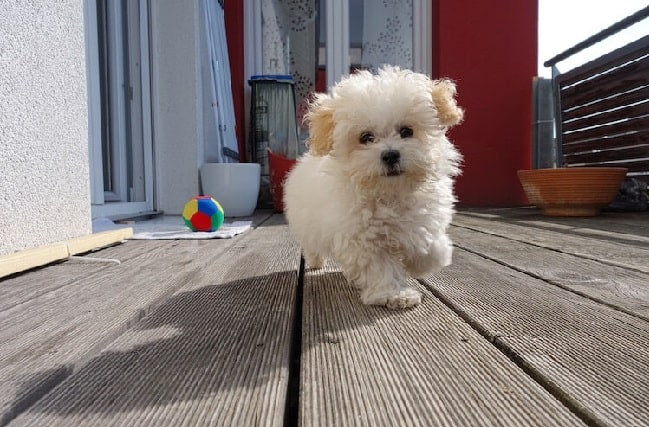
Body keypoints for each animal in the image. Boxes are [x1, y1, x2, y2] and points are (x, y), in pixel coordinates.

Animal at [284, 65, 460, 310]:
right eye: (366, 137)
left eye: (406, 131)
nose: (390, 155)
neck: (390, 193)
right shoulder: (362, 239)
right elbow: (380, 267)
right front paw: (395, 294)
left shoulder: (424, 217)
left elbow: (429, 244)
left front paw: (423, 262)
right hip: (308, 225)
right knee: (312, 246)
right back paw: (315, 262)